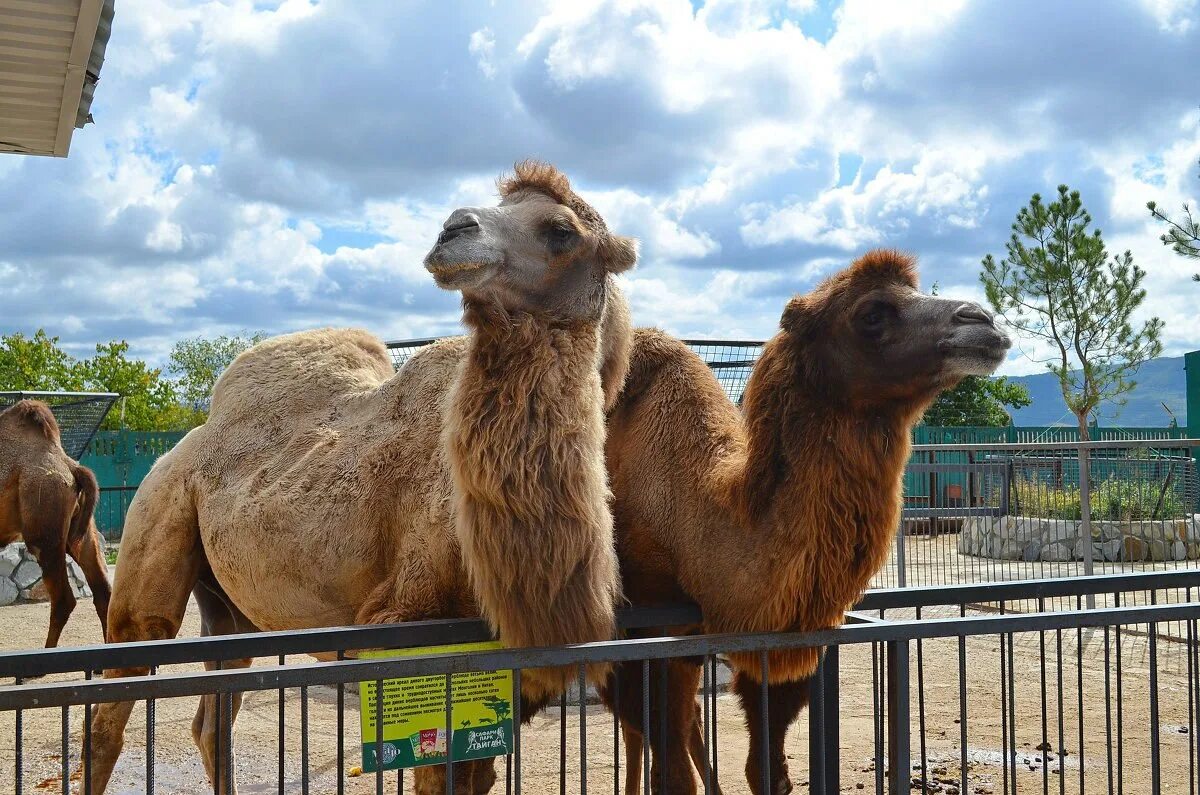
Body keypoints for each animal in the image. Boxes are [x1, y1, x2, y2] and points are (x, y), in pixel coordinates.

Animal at [84, 163, 638, 795]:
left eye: (561, 230)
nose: (453, 228)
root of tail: (183, 443)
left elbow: (479, 774)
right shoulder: (406, 626)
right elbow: (439, 776)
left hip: (229, 607)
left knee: (213, 714)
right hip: (155, 522)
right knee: (117, 693)